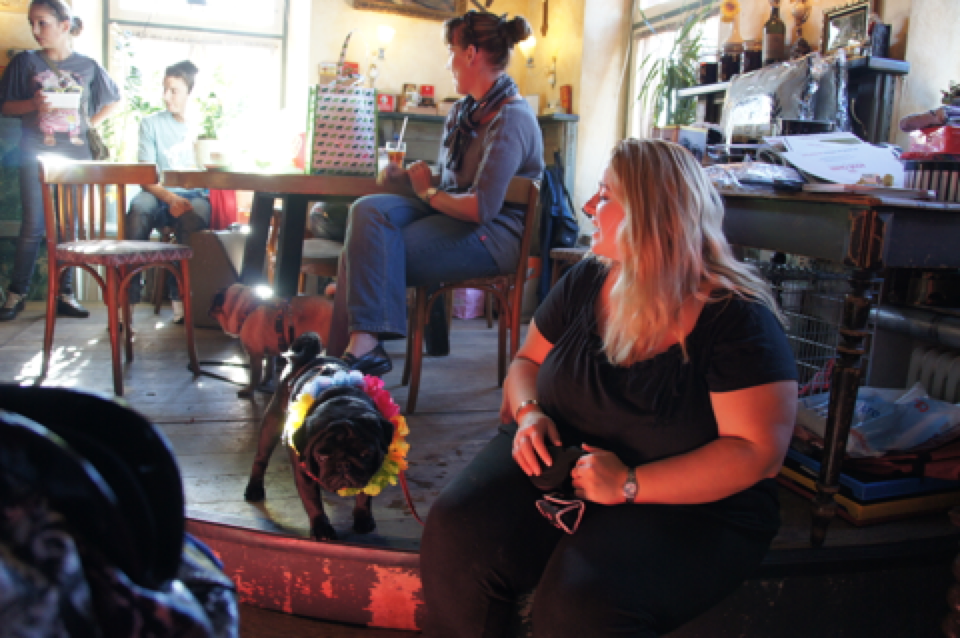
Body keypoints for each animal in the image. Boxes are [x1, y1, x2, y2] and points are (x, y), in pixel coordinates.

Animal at [243, 332, 394, 541]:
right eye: (322, 456)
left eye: (365, 454)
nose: (343, 465)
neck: (341, 403)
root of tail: (307, 358)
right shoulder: (302, 469)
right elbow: (312, 500)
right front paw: (321, 528)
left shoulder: (372, 469)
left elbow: (365, 495)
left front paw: (363, 518)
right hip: (272, 423)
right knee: (261, 458)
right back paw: (254, 489)